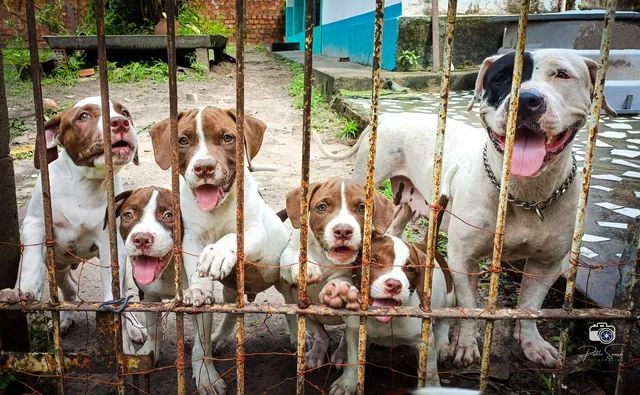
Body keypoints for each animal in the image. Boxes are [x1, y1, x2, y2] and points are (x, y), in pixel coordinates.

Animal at [0, 95, 144, 344]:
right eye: (83, 116)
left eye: (124, 112)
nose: (121, 122)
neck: (86, 184)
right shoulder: (36, 223)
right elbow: (30, 260)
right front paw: (23, 291)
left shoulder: (110, 243)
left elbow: (113, 286)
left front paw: (117, 322)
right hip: (56, 264)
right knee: (67, 290)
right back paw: (63, 318)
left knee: (116, 290)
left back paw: (133, 326)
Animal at [150, 106, 288, 394]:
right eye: (183, 140)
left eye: (227, 138)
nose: (204, 167)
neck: (217, 208)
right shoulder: (190, 237)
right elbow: (197, 273)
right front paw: (198, 290)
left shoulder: (254, 232)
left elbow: (231, 238)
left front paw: (217, 253)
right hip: (231, 290)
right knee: (229, 316)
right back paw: (218, 339)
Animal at [282, 178, 396, 370]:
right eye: (322, 207)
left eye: (361, 207)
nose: (343, 231)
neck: (324, 256)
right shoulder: (285, 262)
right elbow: (294, 258)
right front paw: (309, 268)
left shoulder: (350, 273)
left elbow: (341, 280)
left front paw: (337, 291)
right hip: (301, 307)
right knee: (321, 334)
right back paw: (316, 353)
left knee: (346, 337)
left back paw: (342, 355)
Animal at [330, 232, 456, 395]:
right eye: (373, 261)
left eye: (410, 269)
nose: (394, 285)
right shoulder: (356, 332)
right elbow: (353, 359)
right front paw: (346, 384)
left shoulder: (424, 341)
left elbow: (430, 372)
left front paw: (433, 388)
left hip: (450, 297)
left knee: (445, 319)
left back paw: (442, 344)